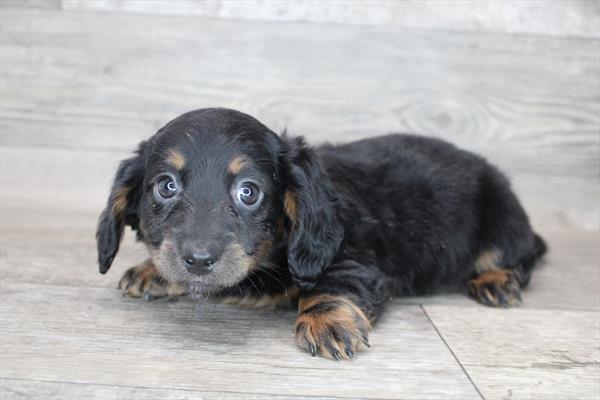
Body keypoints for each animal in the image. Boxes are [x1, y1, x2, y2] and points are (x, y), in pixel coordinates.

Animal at [97, 107, 548, 360]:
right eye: (166, 186)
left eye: (249, 191)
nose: (198, 260)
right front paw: (152, 270)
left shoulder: (353, 257)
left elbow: (332, 285)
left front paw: (327, 320)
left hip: (503, 222)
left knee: (521, 259)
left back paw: (497, 280)